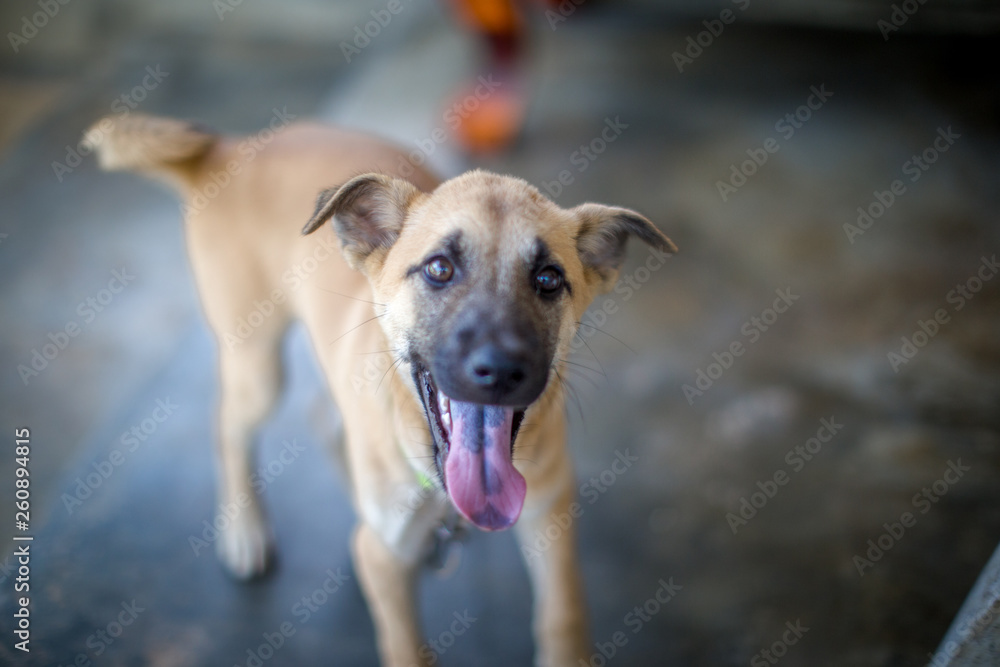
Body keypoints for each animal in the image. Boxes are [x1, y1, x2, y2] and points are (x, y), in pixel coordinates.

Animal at [88, 116, 680, 667]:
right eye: (439, 268)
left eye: (549, 279)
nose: (501, 370)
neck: (443, 496)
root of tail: (225, 150)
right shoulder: (386, 561)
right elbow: (405, 646)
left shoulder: (550, 516)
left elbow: (563, 612)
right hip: (256, 363)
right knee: (228, 424)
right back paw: (245, 530)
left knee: (322, 418)